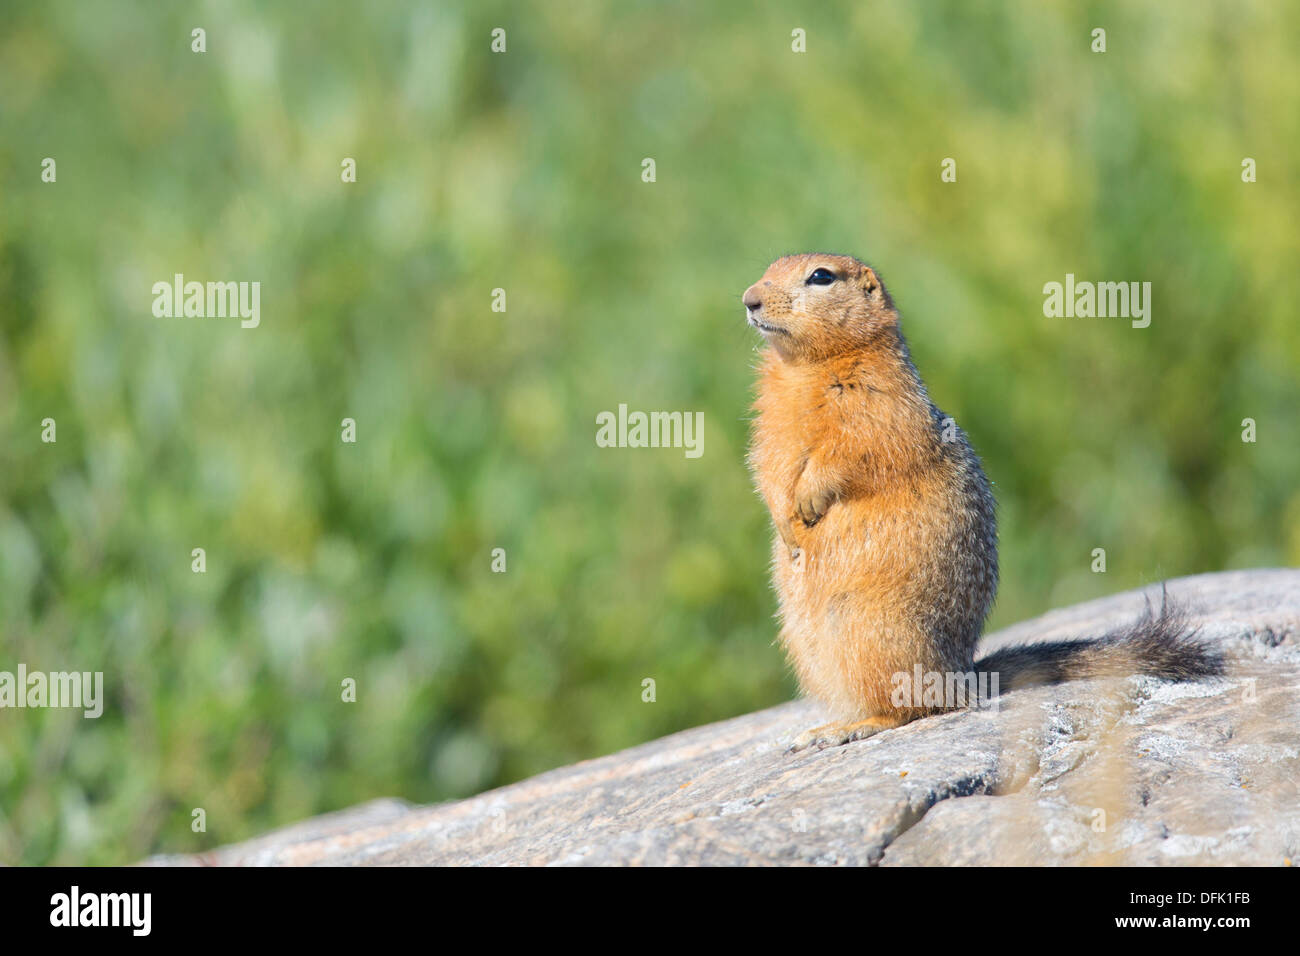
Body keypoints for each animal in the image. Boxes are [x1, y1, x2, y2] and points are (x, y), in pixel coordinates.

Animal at [748, 254, 1222, 754]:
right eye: (769, 266)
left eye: (821, 276)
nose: (748, 299)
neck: (802, 367)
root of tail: (963, 674)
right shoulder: (769, 423)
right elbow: (767, 466)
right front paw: (786, 522)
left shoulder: (879, 402)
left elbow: (857, 449)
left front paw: (809, 497)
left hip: (873, 630)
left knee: (919, 706)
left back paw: (850, 726)